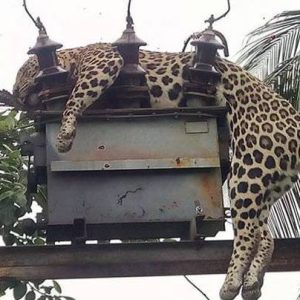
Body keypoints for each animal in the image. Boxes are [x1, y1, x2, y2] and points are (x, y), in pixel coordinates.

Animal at [12, 42, 300, 300]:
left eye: (23, 71)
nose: (15, 93)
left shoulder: (103, 60)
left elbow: (76, 96)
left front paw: (64, 134)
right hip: (267, 181)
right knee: (265, 236)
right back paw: (251, 284)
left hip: (249, 167)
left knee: (249, 233)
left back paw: (230, 284)